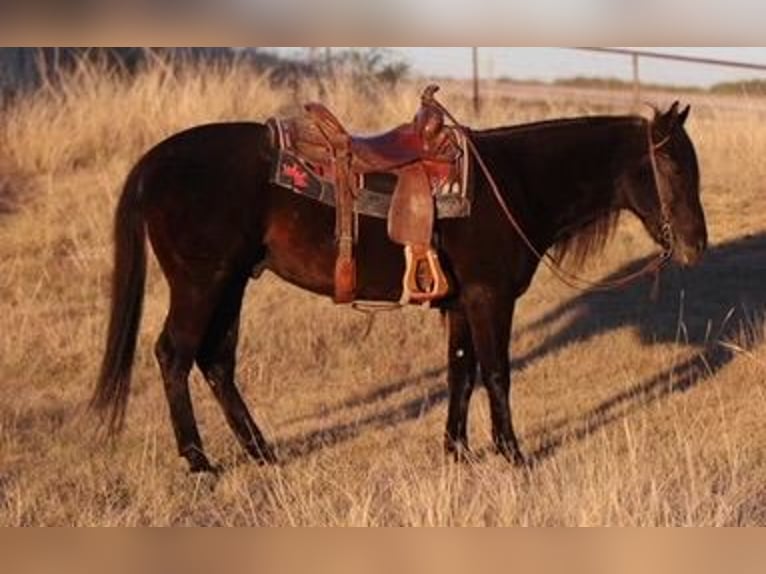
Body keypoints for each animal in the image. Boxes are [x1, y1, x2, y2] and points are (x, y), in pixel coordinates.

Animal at [91, 101, 707, 473]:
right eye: (674, 169)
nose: (696, 246)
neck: (512, 183)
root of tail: (154, 162)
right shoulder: (490, 299)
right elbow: (497, 374)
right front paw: (512, 453)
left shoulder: (459, 304)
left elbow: (461, 374)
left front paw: (457, 451)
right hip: (203, 283)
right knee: (175, 355)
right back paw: (199, 461)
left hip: (233, 283)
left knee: (216, 362)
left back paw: (262, 452)